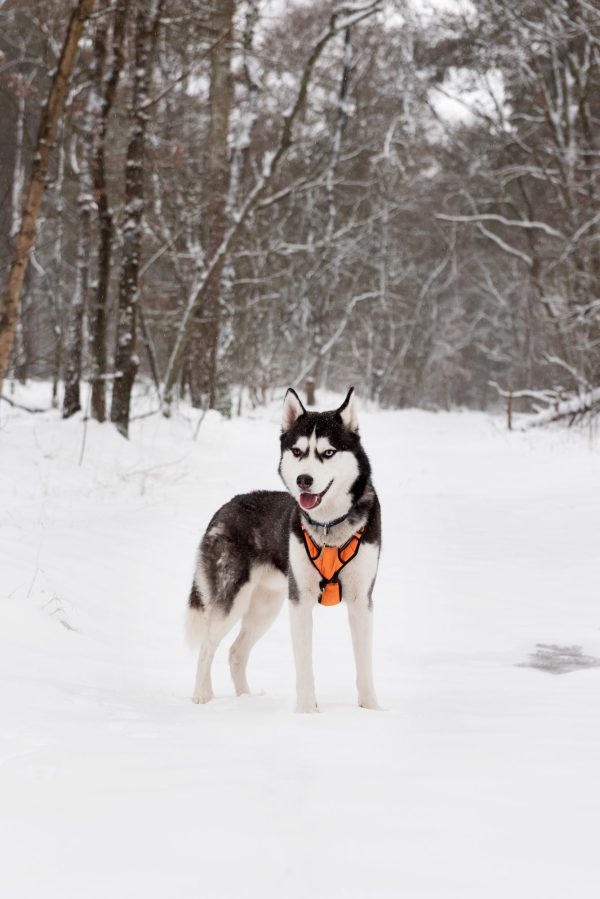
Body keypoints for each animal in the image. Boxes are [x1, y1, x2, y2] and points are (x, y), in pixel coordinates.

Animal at [188, 390, 382, 712]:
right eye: (297, 451)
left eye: (328, 453)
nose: (304, 479)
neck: (329, 527)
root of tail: (226, 506)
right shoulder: (300, 600)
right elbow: (304, 664)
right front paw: (306, 711)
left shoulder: (361, 600)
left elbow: (365, 664)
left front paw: (372, 711)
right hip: (233, 600)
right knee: (206, 645)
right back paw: (202, 695)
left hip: (266, 606)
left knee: (236, 651)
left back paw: (245, 699)